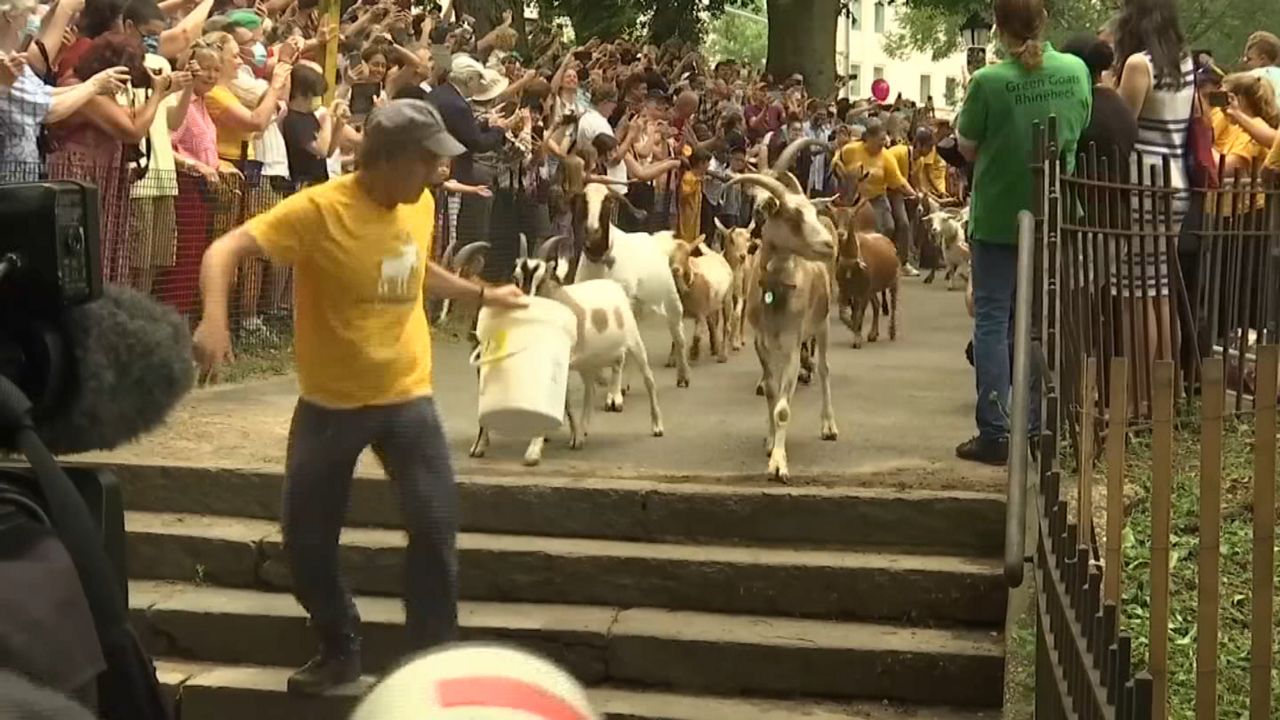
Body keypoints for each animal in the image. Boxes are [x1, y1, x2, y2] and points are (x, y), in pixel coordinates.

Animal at [473, 235, 670, 466]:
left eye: (542, 277)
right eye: (516, 276)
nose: (526, 304)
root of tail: (614, 286)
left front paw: (533, 451)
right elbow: (562, 400)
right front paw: (479, 447)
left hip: (634, 341)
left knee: (648, 379)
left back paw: (657, 426)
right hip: (589, 361)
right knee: (591, 389)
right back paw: (581, 435)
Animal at [573, 181, 691, 389]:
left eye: (608, 201)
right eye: (584, 199)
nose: (592, 230)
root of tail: (656, 240)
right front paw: (601, 378)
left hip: (671, 300)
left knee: (679, 335)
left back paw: (683, 376)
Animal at [732, 137, 839, 479]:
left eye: (810, 211)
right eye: (792, 217)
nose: (828, 246)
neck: (776, 294)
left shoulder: (792, 342)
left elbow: (782, 408)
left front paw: (778, 464)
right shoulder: (762, 343)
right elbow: (770, 391)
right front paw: (769, 443)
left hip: (823, 325)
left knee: (825, 369)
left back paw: (829, 425)